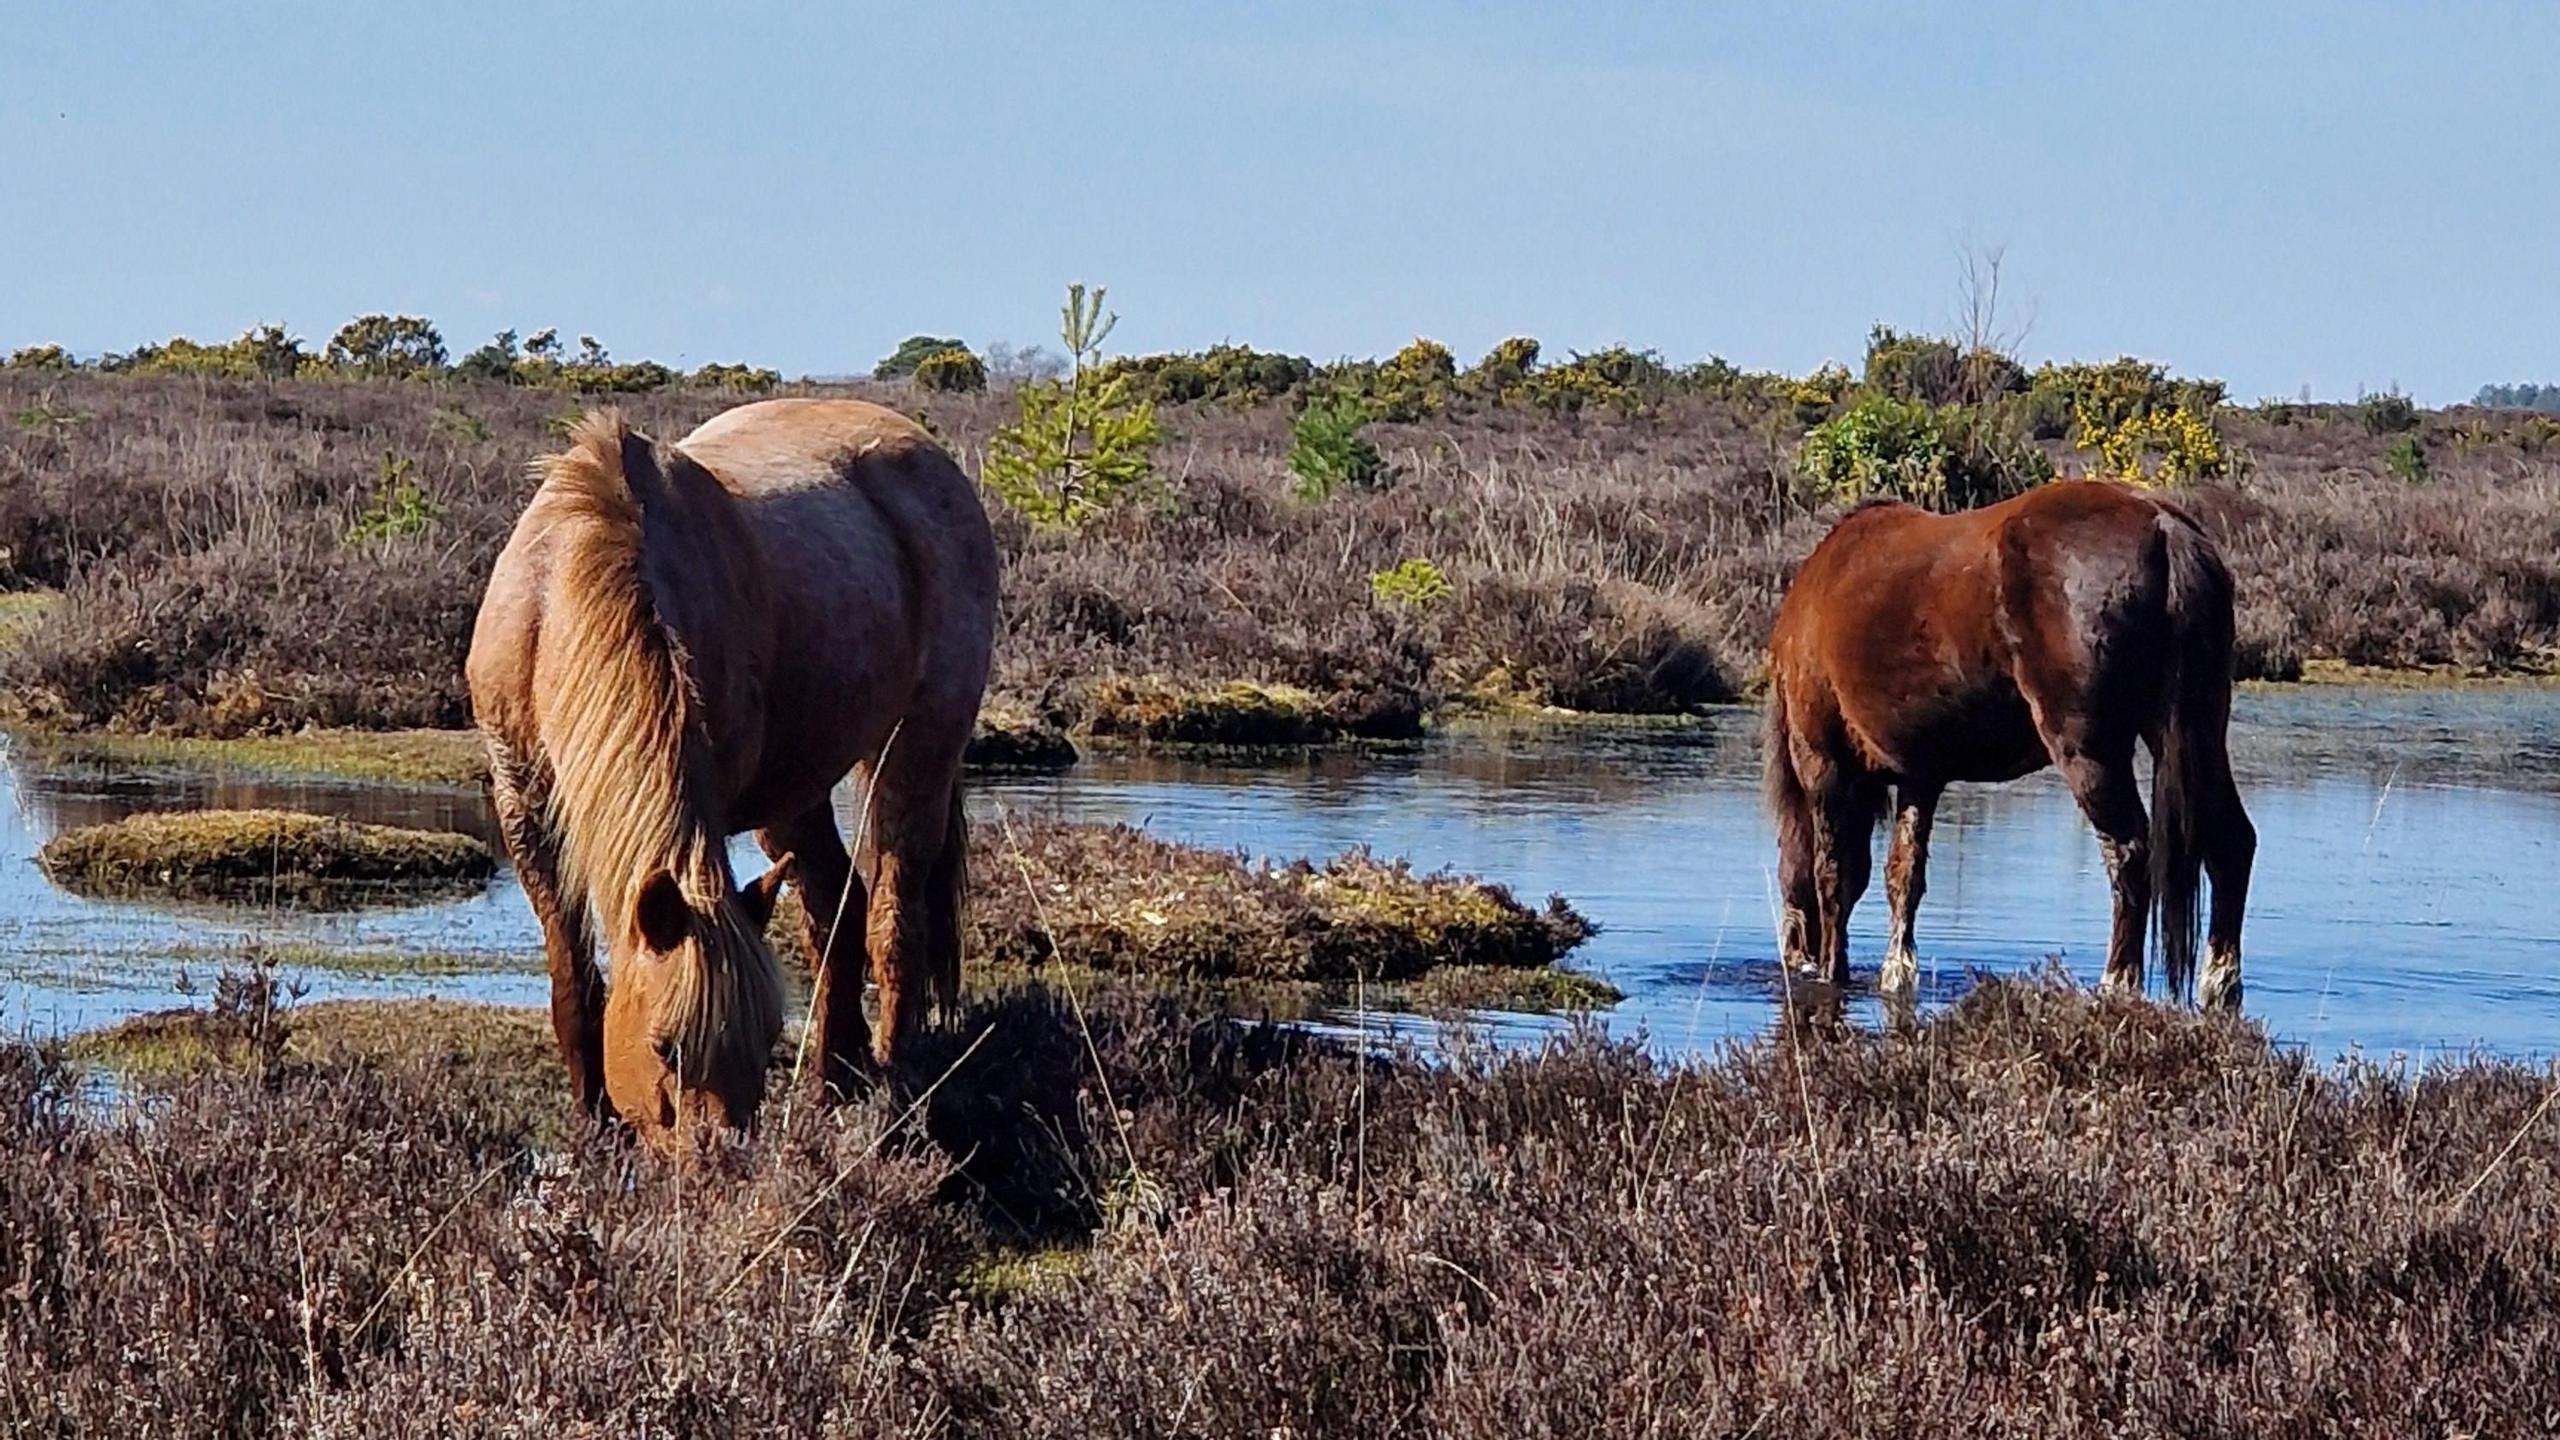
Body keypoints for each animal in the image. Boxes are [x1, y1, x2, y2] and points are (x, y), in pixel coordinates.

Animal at [465, 397, 993, 1137]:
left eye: (765, 1040)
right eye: (665, 1047)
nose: (719, 1158)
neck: (554, 598)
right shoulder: (526, 809)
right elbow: (574, 983)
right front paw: (593, 1126)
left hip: (918, 751)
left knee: (895, 922)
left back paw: (893, 1083)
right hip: (796, 793)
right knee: (837, 912)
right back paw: (835, 1082)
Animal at [1771, 479, 2252, 1009]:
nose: (1794, 954)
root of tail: (2164, 528)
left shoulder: (1823, 764)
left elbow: (1835, 874)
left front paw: (1830, 972)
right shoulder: (1921, 776)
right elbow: (1903, 875)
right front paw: (1897, 971)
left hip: (2091, 750)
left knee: (2129, 852)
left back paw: (2116, 983)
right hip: (2201, 732)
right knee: (2231, 843)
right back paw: (2220, 984)